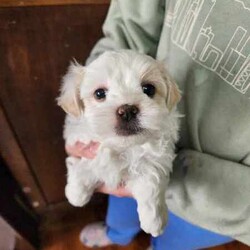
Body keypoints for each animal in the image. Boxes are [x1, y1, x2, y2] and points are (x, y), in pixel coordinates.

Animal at [57, 49, 181, 236]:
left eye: (148, 89)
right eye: (99, 94)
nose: (127, 111)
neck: (122, 146)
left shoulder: (157, 159)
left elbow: (151, 182)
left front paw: (154, 221)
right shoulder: (83, 144)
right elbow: (81, 165)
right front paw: (76, 194)